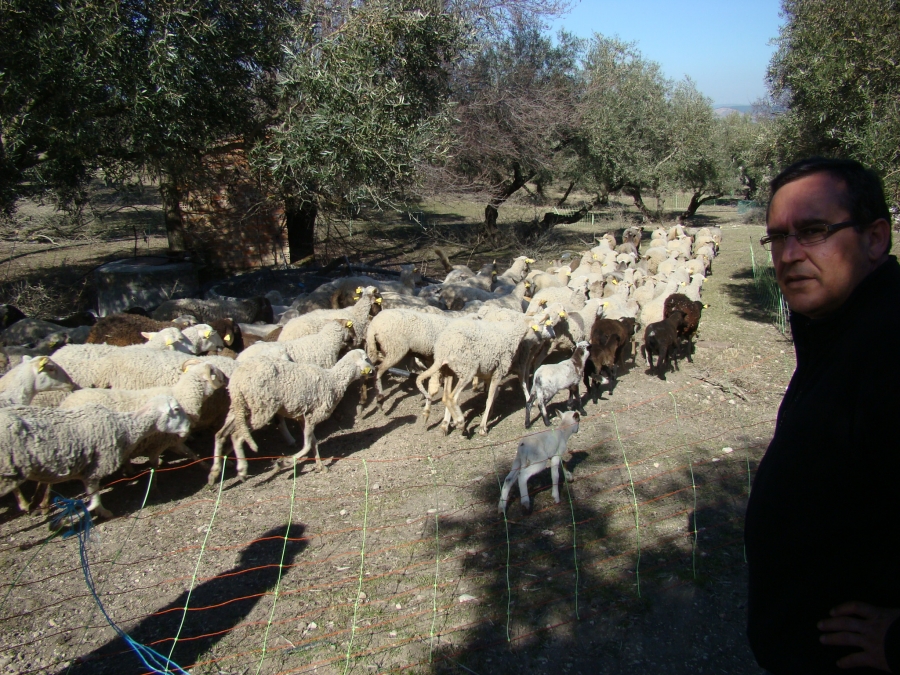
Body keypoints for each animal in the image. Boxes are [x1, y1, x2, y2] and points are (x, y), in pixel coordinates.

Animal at [0, 396, 190, 516]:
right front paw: (102, 513)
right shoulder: (95, 469)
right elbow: (95, 500)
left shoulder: (86, 473)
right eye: (176, 409)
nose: (188, 427)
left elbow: (93, 499)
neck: (125, 428)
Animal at [211, 348, 372, 486]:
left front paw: (320, 466)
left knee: (220, 434)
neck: (333, 380)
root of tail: (236, 381)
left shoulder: (304, 417)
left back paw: (215, 472)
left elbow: (313, 442)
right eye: (366, 359)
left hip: (240, 409)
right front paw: (284, 463)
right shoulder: (313, 415)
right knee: (237, 435)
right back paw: (242, 469)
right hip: (261, 408)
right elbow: (307, 446)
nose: (373, 370)